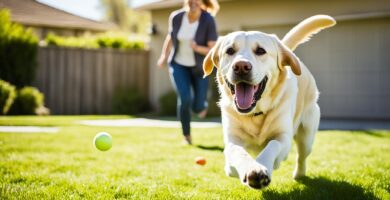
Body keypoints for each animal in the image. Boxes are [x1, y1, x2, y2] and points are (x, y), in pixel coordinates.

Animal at [204, 14, 336, 188]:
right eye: (230, 51)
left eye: (261, 51)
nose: (241, 66)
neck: (255, 113)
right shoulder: (231, 142)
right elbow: (237, 151)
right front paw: (252, 168)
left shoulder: (284, 139)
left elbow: (273, 145)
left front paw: (262, 167)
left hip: (307, 135)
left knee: (301, 156)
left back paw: (299, 174)